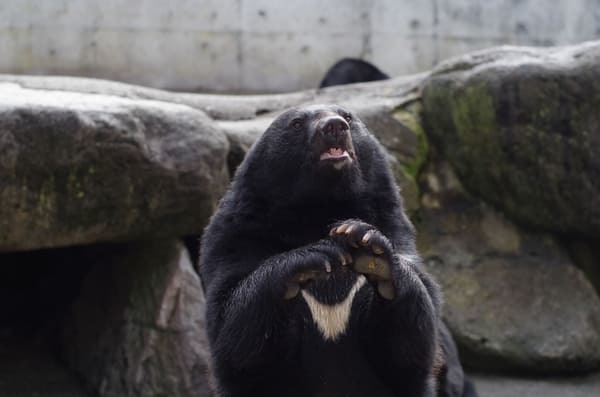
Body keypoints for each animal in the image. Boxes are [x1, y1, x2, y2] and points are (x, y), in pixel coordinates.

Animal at [199, 103, 476, 394]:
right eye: (297, 123)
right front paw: (312, 258)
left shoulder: (395, 226)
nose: (334, 126)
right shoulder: (238, 234)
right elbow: (235, 335)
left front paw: (366, 244)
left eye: (348, 117)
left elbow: (412, 342)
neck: (321, 209)